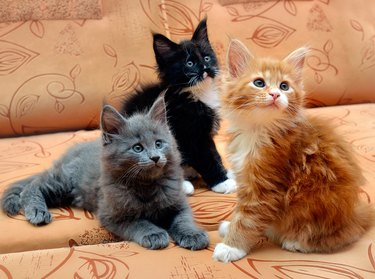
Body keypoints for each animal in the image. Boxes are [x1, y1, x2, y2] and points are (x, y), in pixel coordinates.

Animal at [1, 98, 210, 252]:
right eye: (137, 148)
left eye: (159, 143)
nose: (156, 157)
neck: (146, 186)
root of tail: (68, 154)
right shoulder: (113, 214)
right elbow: (139, 223)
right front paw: (154, 234)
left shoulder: (178, 203)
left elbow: (183, 219)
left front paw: (193, 234)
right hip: (63, 182)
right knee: (33, 185)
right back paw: (37, 211)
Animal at [122, 18, 236, 196]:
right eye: (190, 63)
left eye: (206, 58)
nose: (206, 68)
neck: (196, 93)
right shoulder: (191, 134)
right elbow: (207, 157)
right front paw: (221, 182)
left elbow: (214, 153)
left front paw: (225, 173)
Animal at [213, 38, 374, 262]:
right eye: (259, 83)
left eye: (284, 86)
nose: (275, 94)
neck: (258, 130)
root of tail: (354, 214)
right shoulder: (246, 180)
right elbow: (240, 212)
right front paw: (231, 227)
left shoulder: (265, 188)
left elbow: (247, 219)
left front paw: (231, 246)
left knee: (345, 235)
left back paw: (296, 242)